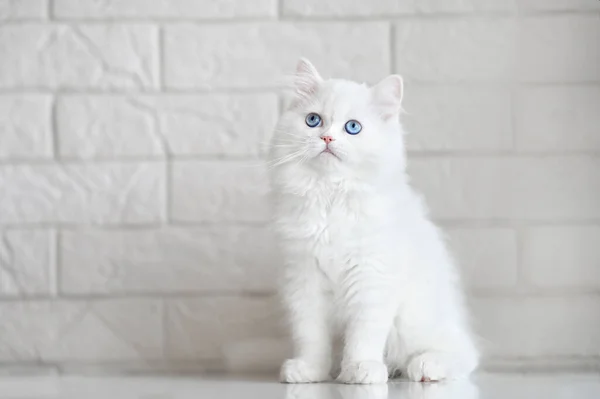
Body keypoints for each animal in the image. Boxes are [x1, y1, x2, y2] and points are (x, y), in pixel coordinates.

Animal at [270, 58, 476, 384]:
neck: (331, 195)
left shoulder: (371, 277)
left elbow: (363, 335)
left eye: (352, 127)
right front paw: (310, 371)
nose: (327, 138)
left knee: (464, 354)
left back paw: (426, 366)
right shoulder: (304, 281)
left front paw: (360, 370)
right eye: (313, 120)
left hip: (416, 324)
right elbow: (311, 337)